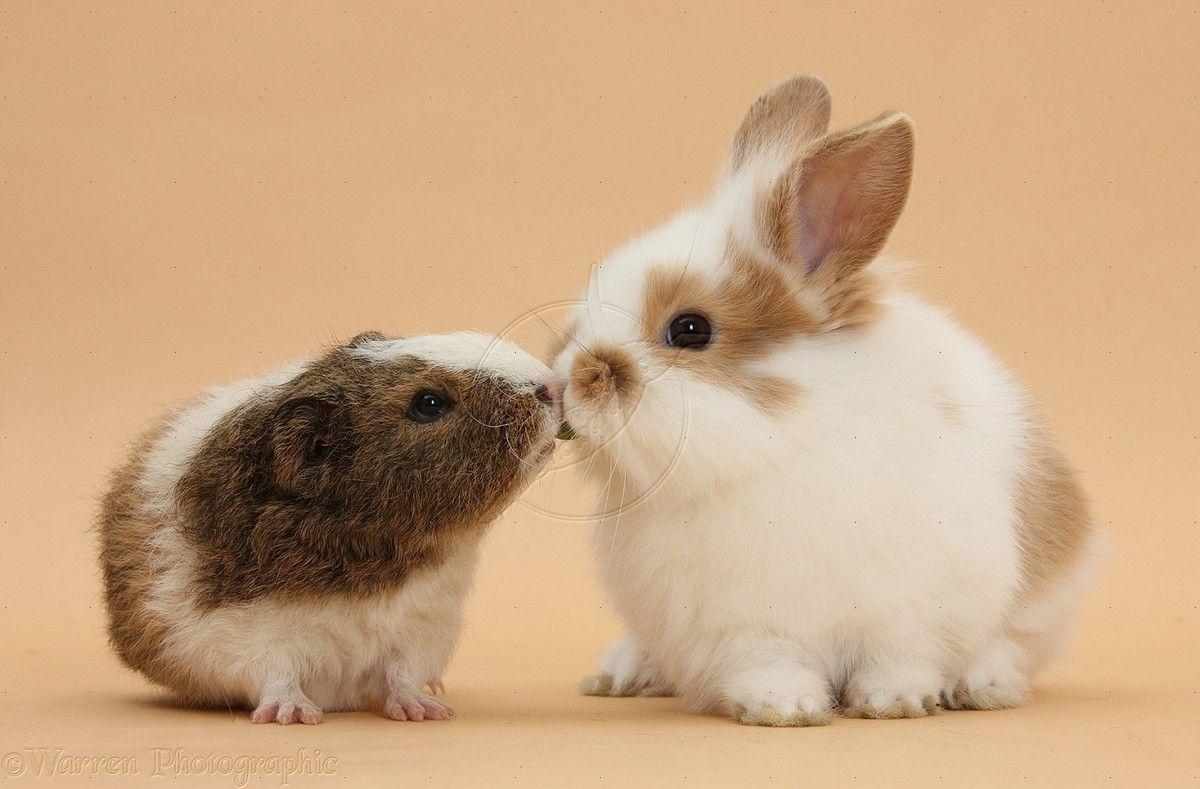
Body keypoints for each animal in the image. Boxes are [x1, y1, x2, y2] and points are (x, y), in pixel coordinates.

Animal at [549, 76, 1099, 725]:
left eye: (690, 330)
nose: (565, 381)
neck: (777, 452)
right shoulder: (740, 626)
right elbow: (768, 663)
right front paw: (783, 707)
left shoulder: (916, 608)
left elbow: (902, 656)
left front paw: (894, 700)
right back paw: (625, 672)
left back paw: (985, 684)